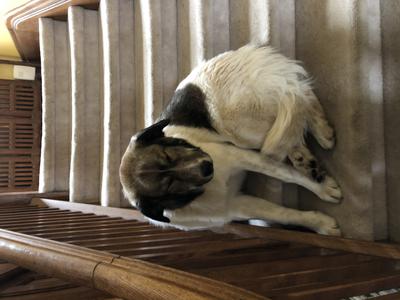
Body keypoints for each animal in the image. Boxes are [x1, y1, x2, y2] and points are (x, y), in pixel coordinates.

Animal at [120, 45, 342, 237]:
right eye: (169, 185)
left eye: (169, 154)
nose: (207, 166)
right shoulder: (237, 206)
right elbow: (284, 214)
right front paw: (320, 223)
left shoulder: (243, 156)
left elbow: (289, 176)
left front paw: (322, 190)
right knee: (295, 108)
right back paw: (305, 154)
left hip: (242, 130)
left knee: (300, 95)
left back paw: (321, 132)